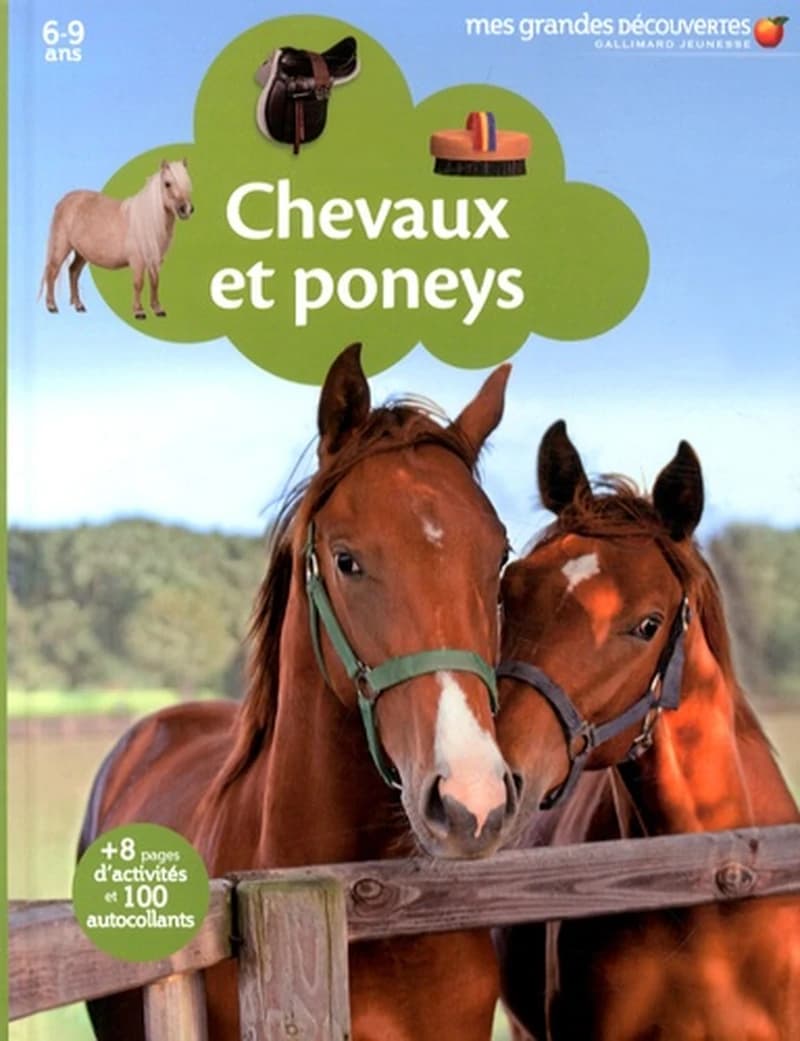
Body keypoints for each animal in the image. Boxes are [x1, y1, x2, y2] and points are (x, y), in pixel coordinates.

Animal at [41, 159, 193, 319]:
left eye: (187, 182)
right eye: (167, 183)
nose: (187, 209)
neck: (147, 220)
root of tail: (65, 200)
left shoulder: (155, 260)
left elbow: (155, 282)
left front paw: (158, 309)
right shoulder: (137, 261)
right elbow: (138, 283)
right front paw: (139, 311)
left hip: (81, 252)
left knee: (73, 272)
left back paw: (79, 305)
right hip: (62, 246)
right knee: (52, 271)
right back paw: (52, 306)